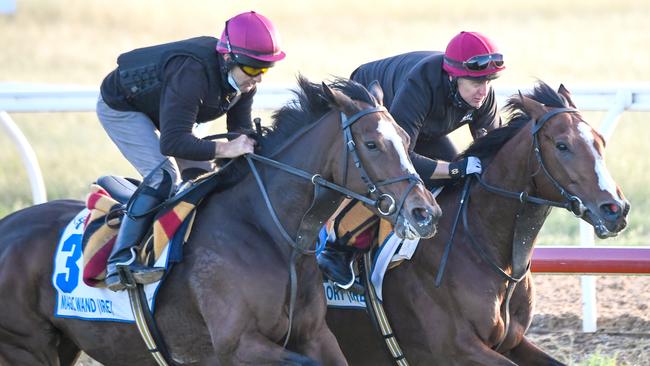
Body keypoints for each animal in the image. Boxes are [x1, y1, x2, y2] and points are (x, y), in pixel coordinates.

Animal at [0, 76, 440, 364]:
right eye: (372, 143)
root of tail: (7, 227)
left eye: (406, 139)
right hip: (26, 346)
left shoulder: (315, 335)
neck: (269, 234)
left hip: (64, 343)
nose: (425, 212)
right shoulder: (238, 345)